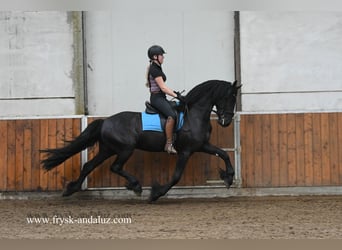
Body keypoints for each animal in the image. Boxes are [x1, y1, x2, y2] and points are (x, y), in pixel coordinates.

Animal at [40, 80, 240, 201]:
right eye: (230, 97)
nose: (226, 121)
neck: (194, 115)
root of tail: (105, 121)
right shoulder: (185, 151)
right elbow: (176, 176)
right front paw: (156, 193)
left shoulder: (201, 145)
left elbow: (223, 154)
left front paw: (229, 177)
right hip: (125, 149)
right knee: (115, 167)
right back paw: (135, 185)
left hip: (108, 149)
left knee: (89, 166)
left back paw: (71, 189)